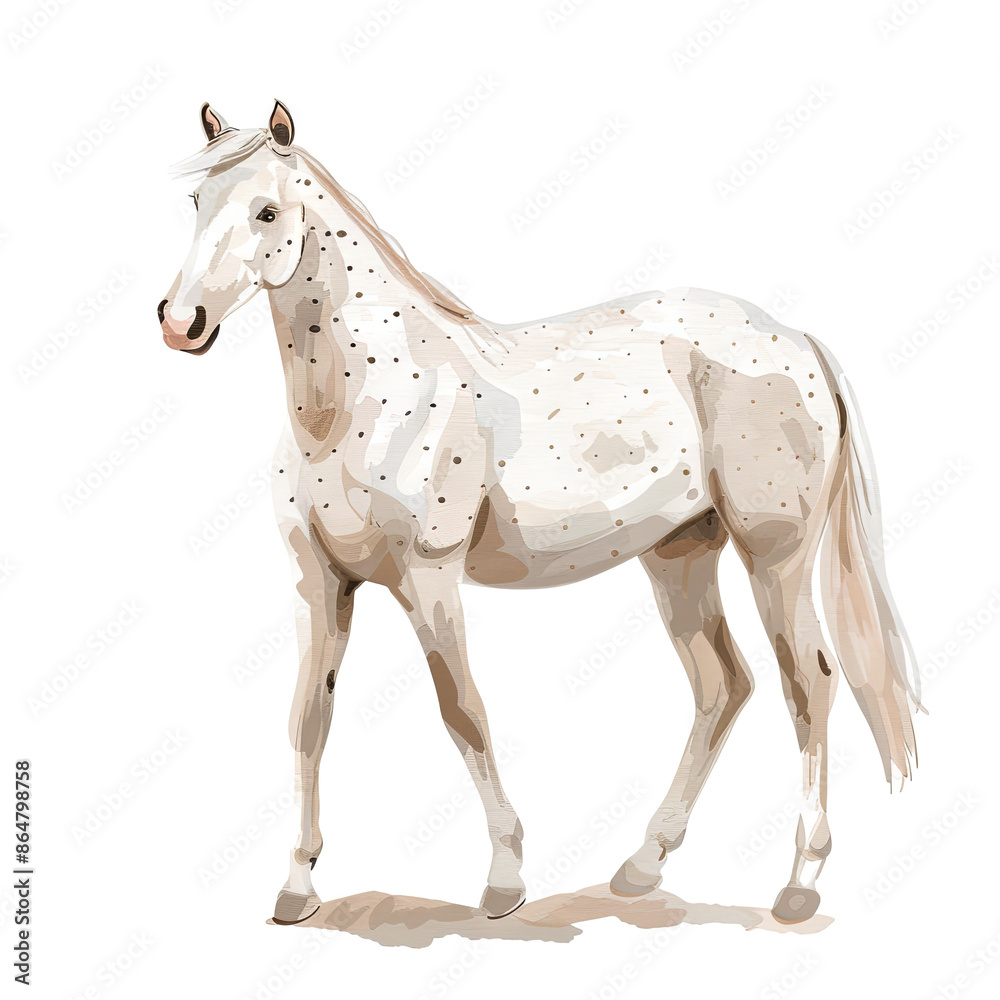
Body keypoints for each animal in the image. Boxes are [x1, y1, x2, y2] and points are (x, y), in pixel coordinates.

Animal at [158, 100, 921, 927]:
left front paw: (504, 881)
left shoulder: (430, 578)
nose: (180, 321)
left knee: (807, 682)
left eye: (268, 212)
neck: (360, 398)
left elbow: (462, 711)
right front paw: (297, 888)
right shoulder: (319, 582)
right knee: (724, 686)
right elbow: (307, 723)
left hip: (774, 558)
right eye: (195, 203)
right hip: (680, 556)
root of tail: (797, 341)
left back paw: (798, 884)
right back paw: (642, 868)